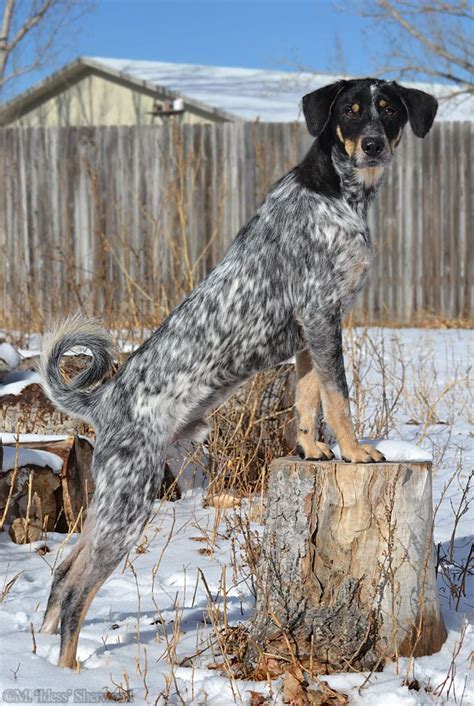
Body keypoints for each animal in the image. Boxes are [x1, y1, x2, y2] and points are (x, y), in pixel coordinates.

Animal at [39, 77, 436, 664]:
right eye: (350, 109)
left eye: (387, 109)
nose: (372, 144)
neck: (336, 195)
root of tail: (102, 399)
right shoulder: (322, 313)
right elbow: (339, 397)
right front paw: (355, 450)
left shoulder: (310, 330)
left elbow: (308, 400)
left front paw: (313, 450)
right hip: (128, 506)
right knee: (75, 593)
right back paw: (68, 673)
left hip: (108, 503)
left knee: (63, 573)